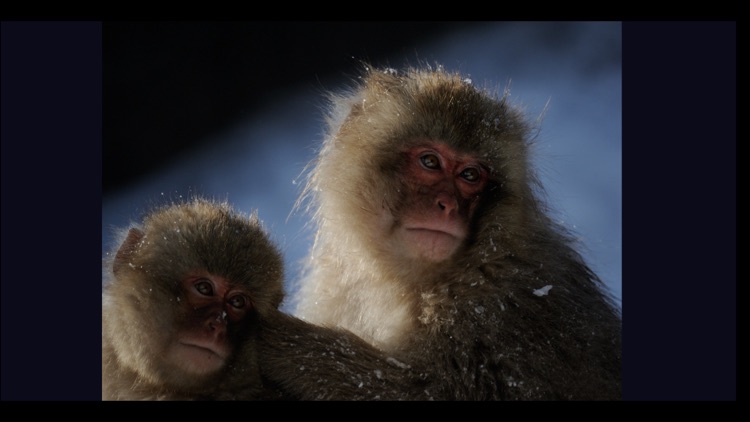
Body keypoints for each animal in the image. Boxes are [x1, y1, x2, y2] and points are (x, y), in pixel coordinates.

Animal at [254, 64, 622, 400]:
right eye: (430, 162)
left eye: (470, 175)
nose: (447, 205)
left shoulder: (499, 307)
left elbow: (436, 391)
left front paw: (279, 341)